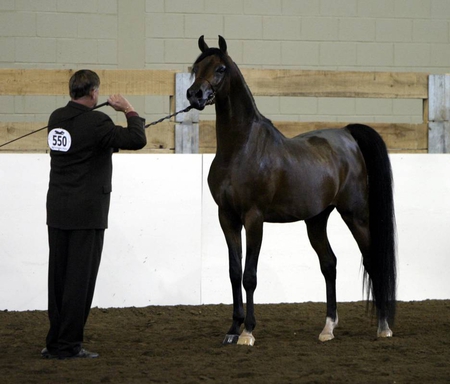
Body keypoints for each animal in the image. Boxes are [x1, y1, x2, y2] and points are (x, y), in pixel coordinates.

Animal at [187, 36, 398, 346]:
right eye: (196, 67)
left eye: (220, 68)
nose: (194, 95)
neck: (240, 149)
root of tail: (348, 135)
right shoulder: (226, 217)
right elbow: (234, 272)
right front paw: (233, 329)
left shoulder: (254, 219)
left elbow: (250, 275)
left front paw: (248, 332)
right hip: (317, 220)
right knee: (329, 264)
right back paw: (328, 328)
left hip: (355, 214)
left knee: (372, 261)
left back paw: (383, 327)